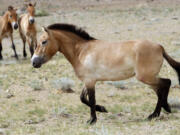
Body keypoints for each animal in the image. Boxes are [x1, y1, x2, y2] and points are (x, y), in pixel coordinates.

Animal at [31, 23, 180, 124]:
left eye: (43, 42)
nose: (34, 62)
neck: (81, 51)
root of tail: (159, 47)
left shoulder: (90, 81)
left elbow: (91, 99)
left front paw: (92, 120)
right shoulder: (89, 80)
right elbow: (82, 98)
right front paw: (102, 109)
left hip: (145, 77)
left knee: (166, 83)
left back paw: (155, 114)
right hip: (149, 78)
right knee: (160, 89)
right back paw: (162, 110)